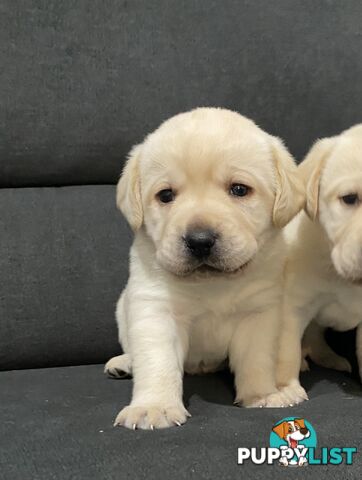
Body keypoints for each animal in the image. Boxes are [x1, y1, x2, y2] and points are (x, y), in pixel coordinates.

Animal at [106, 107, 304, 430]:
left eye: (239, 189)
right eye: (165, 195)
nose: (200, 241)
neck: (213, 284)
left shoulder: (259, 312)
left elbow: (257, 360)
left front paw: (262, 395)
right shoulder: (156, 310)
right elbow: (157, 363)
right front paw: (153, 407)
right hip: (123, 310)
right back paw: (123, 363)